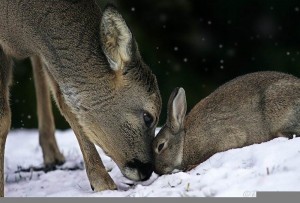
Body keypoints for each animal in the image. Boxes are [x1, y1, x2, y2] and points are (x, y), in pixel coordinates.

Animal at [0, 0, 162, 197]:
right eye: (148, 117)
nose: (147, 170)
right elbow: (3, 119)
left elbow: (67, 104)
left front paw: (102, 182)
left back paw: (52, 154)